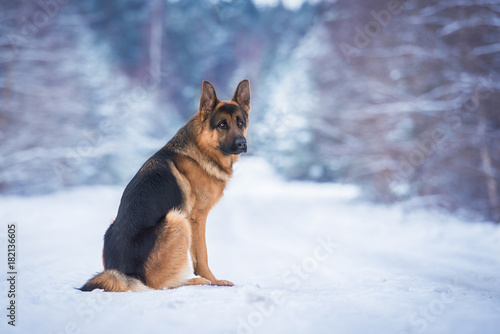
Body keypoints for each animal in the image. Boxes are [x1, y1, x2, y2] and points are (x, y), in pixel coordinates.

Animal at [80, 79, 252, 290]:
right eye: (222, 125)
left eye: (240, 123)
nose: (242, 143)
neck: (202, 147)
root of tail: (125, 274)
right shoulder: (196, 219)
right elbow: (202, 256)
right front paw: (214, 281)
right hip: (178, 221)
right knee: (160, 283)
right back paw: (194, 280)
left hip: (112, 225)